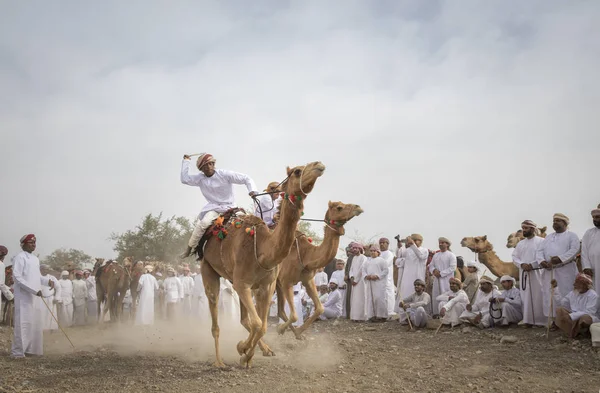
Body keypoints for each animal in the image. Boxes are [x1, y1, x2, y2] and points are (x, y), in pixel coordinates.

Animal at [200, 160, 324, 368]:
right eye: (297, 171)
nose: (319, 165)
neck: (262, 249)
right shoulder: (244, 283)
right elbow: (257, 323)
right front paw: (242, 349)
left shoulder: (267, 285)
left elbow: (262, 325)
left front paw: (247, 355)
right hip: (208, 270)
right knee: (216, 318)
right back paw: (219, 362)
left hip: (238, 283)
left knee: (246, 319)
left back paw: (264, 349)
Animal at [274, 201, 364, 338]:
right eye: (339, 207)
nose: (358, 207)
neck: (305, 255)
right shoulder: (286, 281)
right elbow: (294, 315)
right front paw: (283, 329)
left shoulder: (307, 280)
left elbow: (320, 308)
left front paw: (298, 333)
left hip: (276, 284)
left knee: (280, 310)